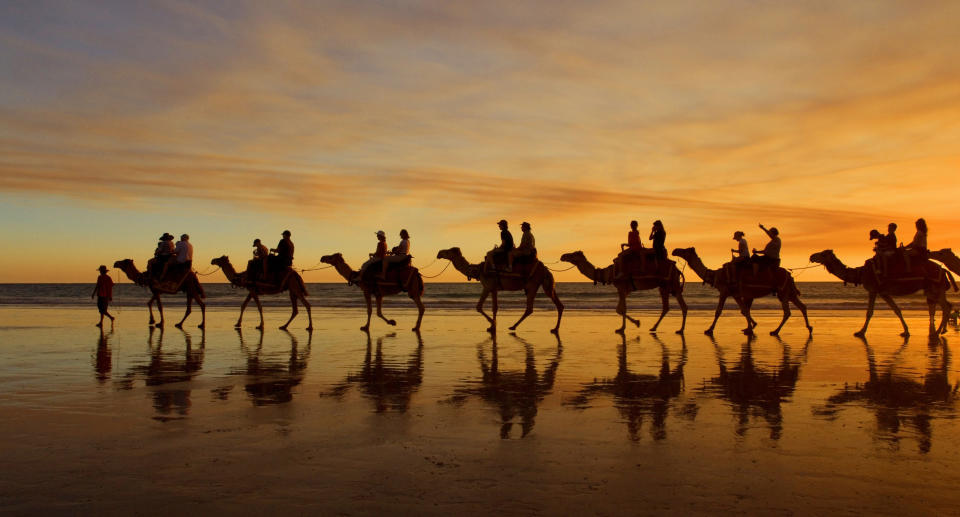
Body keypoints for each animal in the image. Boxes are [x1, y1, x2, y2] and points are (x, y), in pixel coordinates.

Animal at [436, 247, 564, 334]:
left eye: (448, 251)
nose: (439, 253)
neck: (478, 270)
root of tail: (545, 269)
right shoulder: (490, 288)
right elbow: (485, 307)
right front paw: (492, 325)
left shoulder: (490, 287)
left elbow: (488, 307)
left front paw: (493, 326)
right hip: (543, 284)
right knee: (558, 304)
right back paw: (555, 329)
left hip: (533, 284)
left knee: (530, 308)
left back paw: (513, 326)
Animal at [560, 251, 688, 332]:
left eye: (573, 254)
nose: (563, 256)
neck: (609, 273)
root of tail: (677, 269)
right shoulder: (625, 290)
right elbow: (619, 309)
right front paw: (629, 325)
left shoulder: (621, 287)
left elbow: (621, 309)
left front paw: (627, 326)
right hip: (667, 286)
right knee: (674, 306)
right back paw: (666, 328)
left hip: (669, 284)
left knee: (676, 306)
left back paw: (670, 329)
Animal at [672, 248, 812, 336]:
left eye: (685, 250)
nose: (674, 251)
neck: (716, 275)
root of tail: (790, 275)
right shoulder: (736, 294)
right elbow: (744, 310)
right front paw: (750, 327)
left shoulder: (725, 291)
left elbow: (719, 311)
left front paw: (709, 329)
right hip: (788, 292)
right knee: (802, 306)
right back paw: (809, 328)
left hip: (782, 291)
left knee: (787, 311)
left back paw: (775, 331)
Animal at [808, 251, 952, 338]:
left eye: (823, 254)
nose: (811, 256)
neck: (861, 273)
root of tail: (944, 270)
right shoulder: (884, 292)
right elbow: (897, 310)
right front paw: (906, 331)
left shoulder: (873, 290)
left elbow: (869, 312)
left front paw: (860, 332)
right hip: (931, 289)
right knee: (943, 306)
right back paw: (940, 331)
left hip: (936, 287)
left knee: (945, 307)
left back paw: (937, 332)